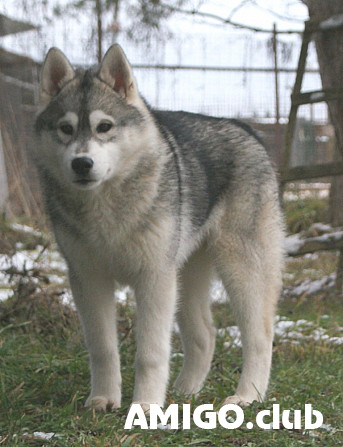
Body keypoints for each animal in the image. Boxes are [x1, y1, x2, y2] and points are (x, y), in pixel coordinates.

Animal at [34, 44, 284, 412]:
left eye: (104, 126)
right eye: (65, 128)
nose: (82, 163)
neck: (105, 206)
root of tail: (245, 129)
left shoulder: (153, 278)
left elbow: (150, 354)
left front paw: (146, 407)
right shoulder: (89, 280)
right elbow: (102, 348)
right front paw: (104, 399)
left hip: (241, 271)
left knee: (260, 336)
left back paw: (247, 395)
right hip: (184, 278)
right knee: (204, 335)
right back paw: (184, 392)